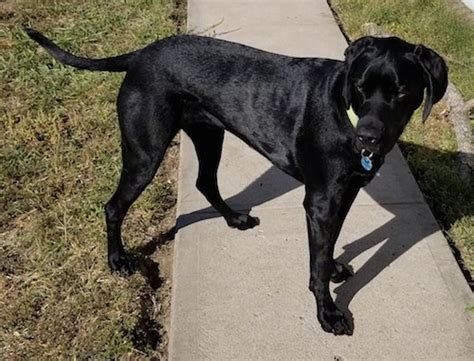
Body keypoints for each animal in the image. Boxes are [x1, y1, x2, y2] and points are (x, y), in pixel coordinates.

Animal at [26, 28, 448, 334]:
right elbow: (316, 264)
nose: (369, 139)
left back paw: (234, 218)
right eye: (360, 87)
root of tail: (141, 54)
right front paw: (327, 312)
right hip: (145, 154)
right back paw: (117, 260)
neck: (345, 113)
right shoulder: (321, 201)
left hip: (209, 134)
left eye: (403, 91)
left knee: (204, 182)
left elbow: (327, 249)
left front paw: (333, 268)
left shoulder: (342, 195)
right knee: (114, 205)